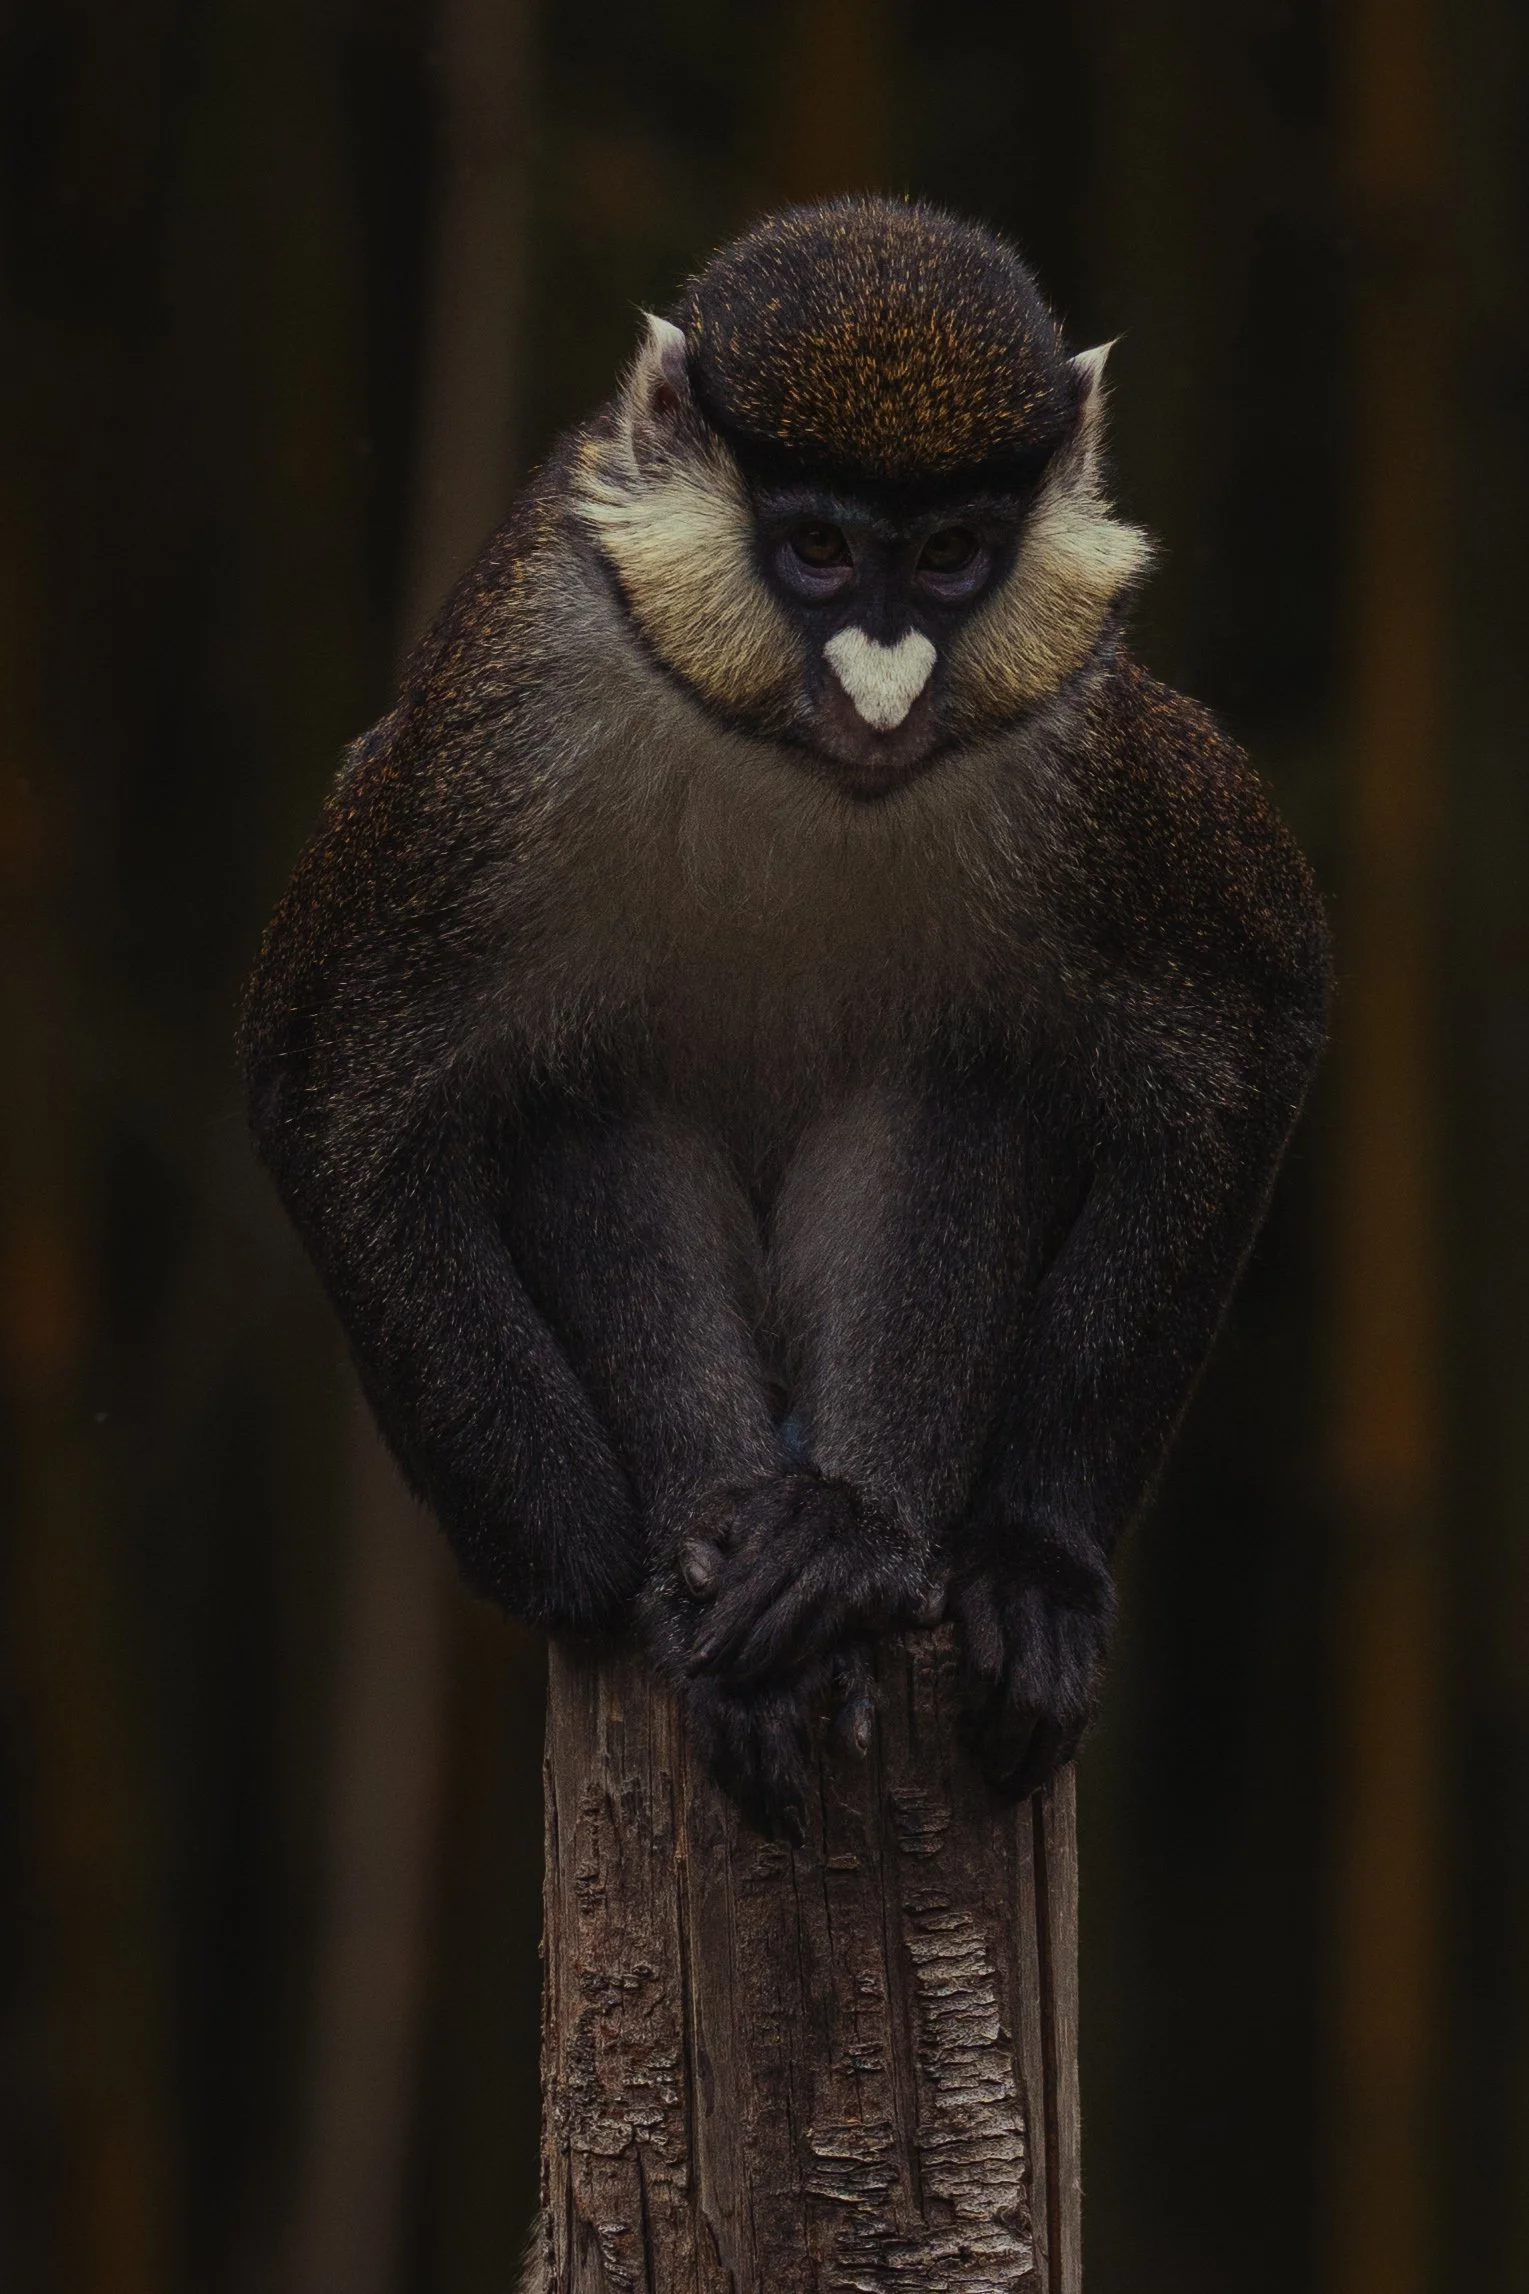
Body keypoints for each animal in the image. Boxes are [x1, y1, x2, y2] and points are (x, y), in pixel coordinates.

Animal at [242, 197, 1330, 1843]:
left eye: (948, 557)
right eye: (816, 549)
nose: (882, 688)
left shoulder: (1097, 753)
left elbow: (1241, 1024)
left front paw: (1033, 1560)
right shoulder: (492, 725)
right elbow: (331, 1062)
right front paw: (622, 1580)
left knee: (971, 1079)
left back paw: (849, 1540)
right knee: (570, 1092)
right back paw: (722, 1538)